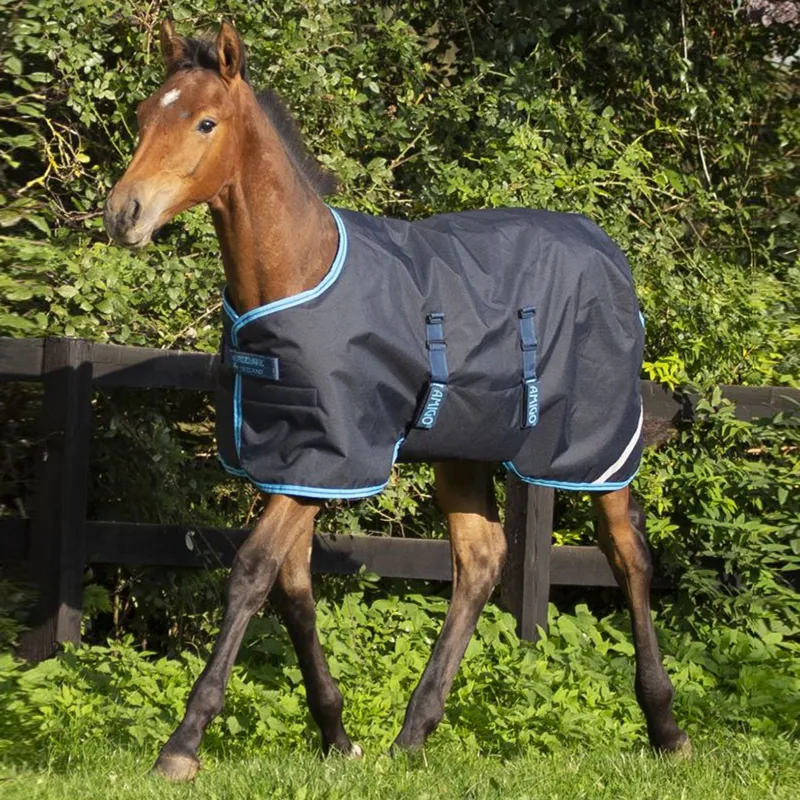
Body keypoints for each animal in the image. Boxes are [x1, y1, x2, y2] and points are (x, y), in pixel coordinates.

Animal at [104, 19, 690, 781]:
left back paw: (666, 728)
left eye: (205, 122)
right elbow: (293, 585)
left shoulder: (332, 457)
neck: (299, 271)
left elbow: (252, 572)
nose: (124, 214)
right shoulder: (295, 459)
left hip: (596, 447)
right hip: (463, 450)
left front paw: (182, 745)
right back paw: (414, 732)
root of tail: (608, 252)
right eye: (146, 115)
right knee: (481, 560)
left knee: (627, 556)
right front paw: (337, 735)